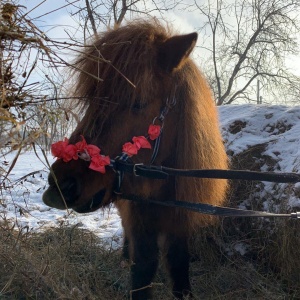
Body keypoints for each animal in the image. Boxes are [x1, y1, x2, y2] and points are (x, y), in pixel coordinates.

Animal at [42, 19, 227, 298]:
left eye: (138, 102)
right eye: (93, 100)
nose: (60, 186)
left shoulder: (180, 225)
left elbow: (178, 264)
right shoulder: (140, 224)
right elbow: (143, 269)